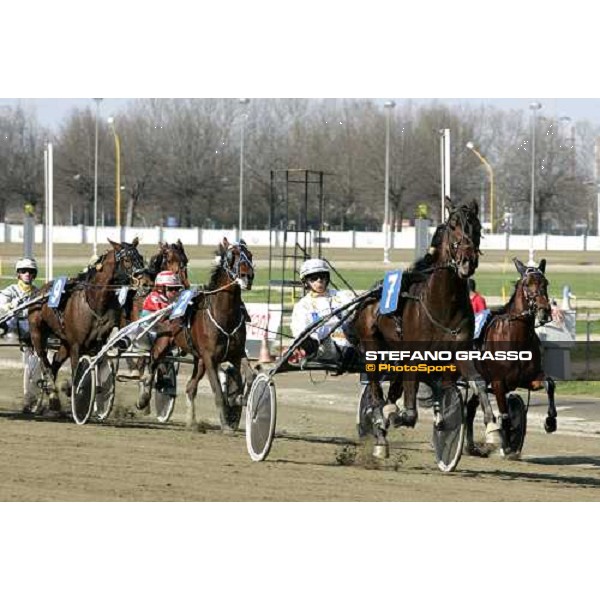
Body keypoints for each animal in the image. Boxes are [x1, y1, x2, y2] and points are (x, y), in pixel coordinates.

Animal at [28, 238, 145, 412]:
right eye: (127, 260)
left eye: (141, 257)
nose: (144, 280)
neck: (94, 301)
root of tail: (39, 293)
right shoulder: (76, 345)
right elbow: (77, 373)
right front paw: (75, 393)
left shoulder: (96, 344)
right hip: (37, 332)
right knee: (44, 360)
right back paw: (50, 390)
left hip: (65, 342)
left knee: (55, 361)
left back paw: (53, 396)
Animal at [141, 238, 255, 432]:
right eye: (232, 256)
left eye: (250, 255)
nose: (248, 276)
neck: (224, 315)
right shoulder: (210, 358)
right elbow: (218, 391)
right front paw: (226, 425)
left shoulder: (237, 353)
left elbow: (250, 376)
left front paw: (239, 398)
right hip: (164, 342)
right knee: (153, 361)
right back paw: (143, 399)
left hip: (199, 360)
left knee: (190, 387)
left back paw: (192, 422)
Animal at [350, 199, 480, 458]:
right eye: (453, 226)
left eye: (477, 227)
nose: (467, 261)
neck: (442, 304)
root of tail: (369, 296)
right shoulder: (415, 356)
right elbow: (409, 414)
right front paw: (394, 415)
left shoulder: (458, 351)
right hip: (372, 346)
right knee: (375, 391)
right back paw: (379, 428)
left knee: (392, 389)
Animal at [466, 255, 556, 458]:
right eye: (527, 284)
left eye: (545, 283)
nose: (544, 310)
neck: (515, 337)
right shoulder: (498, 383)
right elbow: (505, 415)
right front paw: (505, 445)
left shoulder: (528, 378)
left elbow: (550, 384)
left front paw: (550, 421)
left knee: (470, 407)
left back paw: (472, 447)